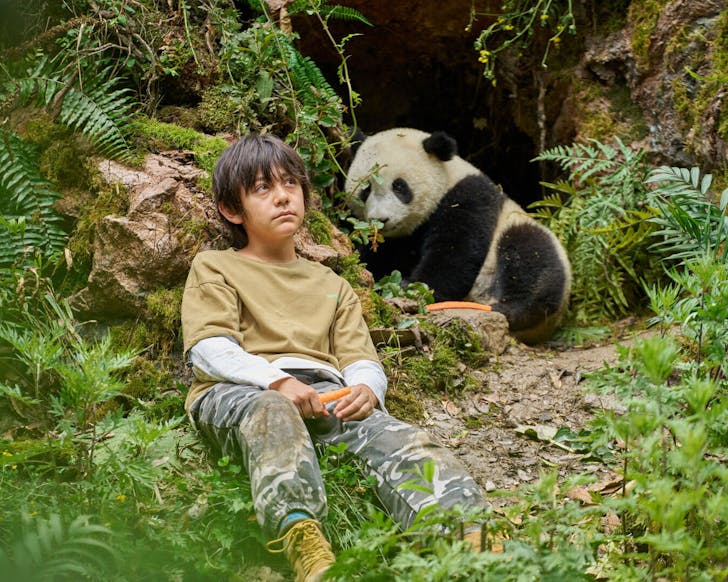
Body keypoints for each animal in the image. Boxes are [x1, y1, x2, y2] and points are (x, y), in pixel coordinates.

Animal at [344, 127, 571, 344]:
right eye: (365, 189)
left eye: (399, 186)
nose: (380, 220)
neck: (447, 177)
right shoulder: (394, 240)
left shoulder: (467, 197)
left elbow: (455, 253)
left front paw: (411, 287)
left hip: (522, 234)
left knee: (531, 259)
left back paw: (507, 308)